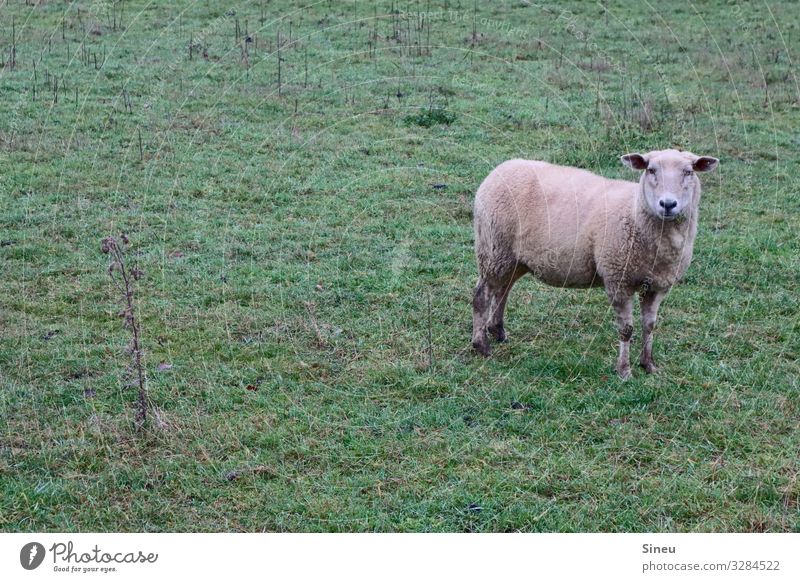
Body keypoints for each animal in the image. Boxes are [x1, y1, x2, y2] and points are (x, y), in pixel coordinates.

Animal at [472, 148, 720, 380]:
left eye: (689, 172)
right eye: (650, 170)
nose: (668, 204)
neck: (634, 212)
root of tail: (500, 169)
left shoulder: (658, 285)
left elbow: (649, 326)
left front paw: (648, 365)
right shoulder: (617, 278)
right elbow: (626, 330)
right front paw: (624, 371)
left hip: (513, 258)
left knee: (503, 290)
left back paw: (497, 331)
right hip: (494, 249)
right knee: (482, 294)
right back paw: (482, 345)